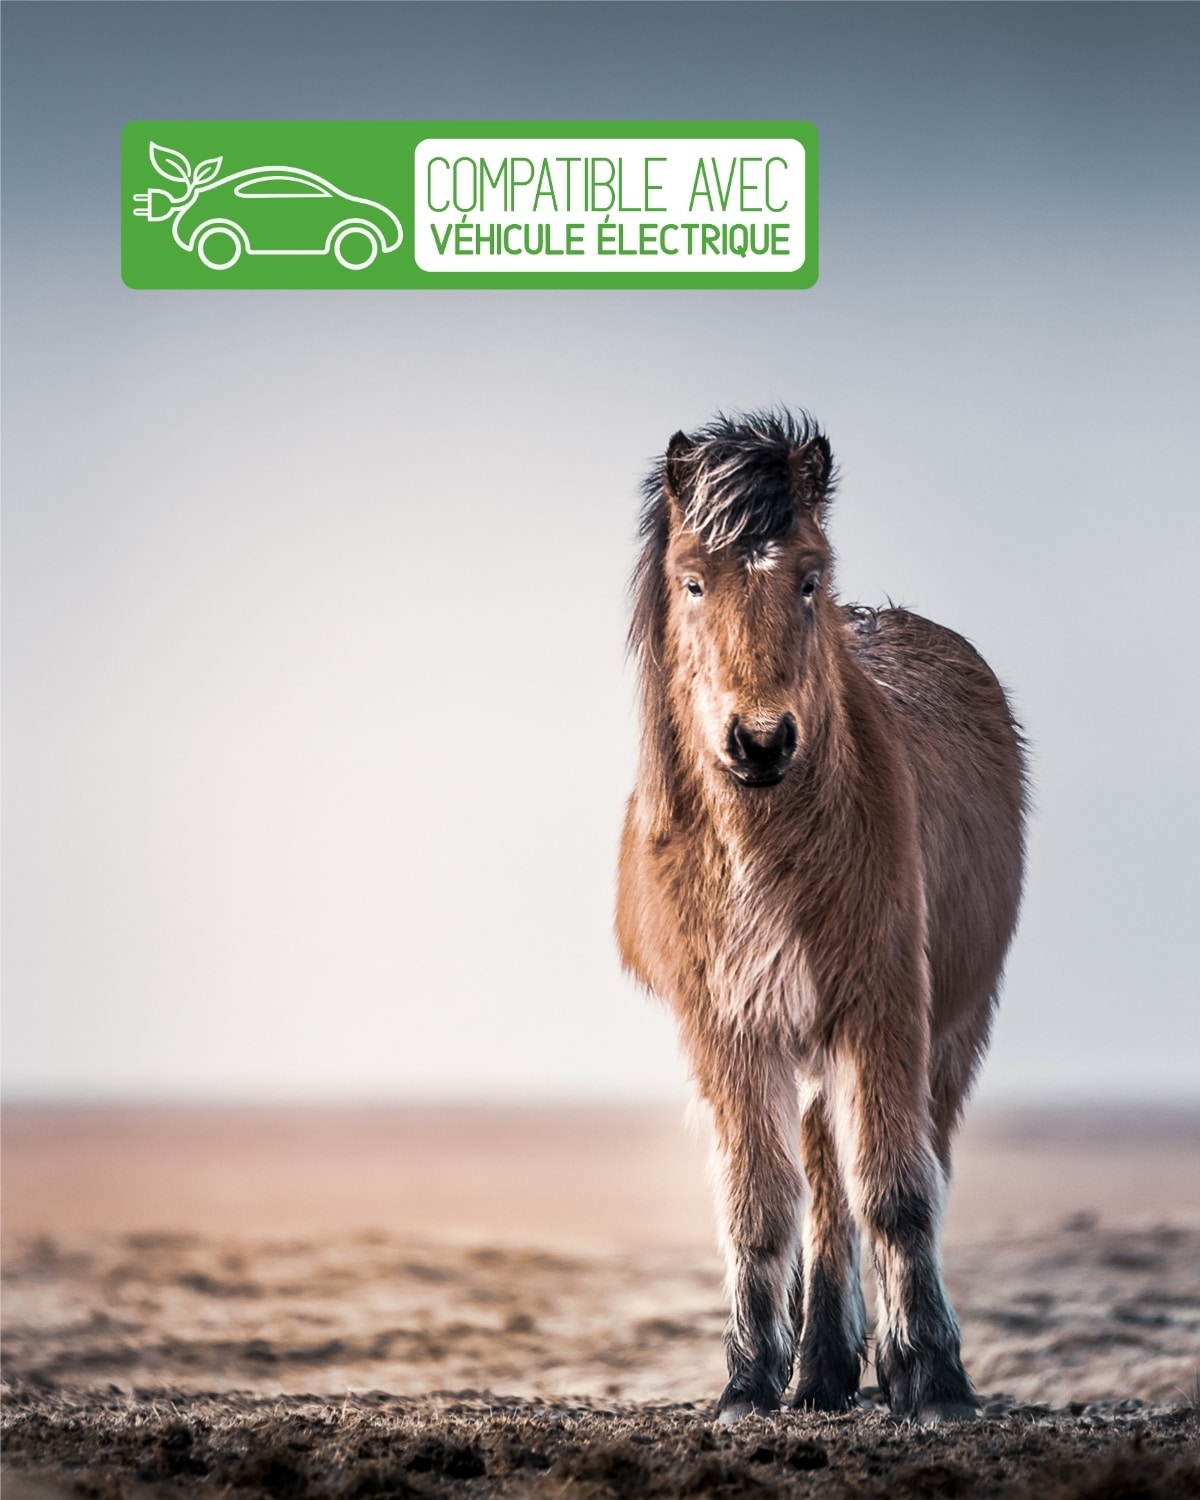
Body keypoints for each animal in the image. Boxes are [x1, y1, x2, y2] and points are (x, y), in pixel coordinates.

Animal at [616, 410, 1026, 1424]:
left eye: (809, 577)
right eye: (692, 579)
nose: (762, 742)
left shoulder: (883, 1008)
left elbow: (897, 1194)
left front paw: (936, 1381)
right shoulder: (728, 1030)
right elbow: (761, 1205)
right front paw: (746, 1385)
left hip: (947, 1028)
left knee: (891, 1170)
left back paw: (872, 1364)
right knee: (822, 1181)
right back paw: (821, 1373)